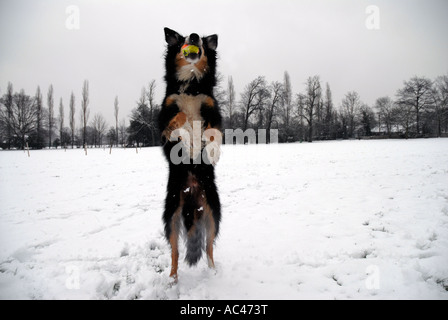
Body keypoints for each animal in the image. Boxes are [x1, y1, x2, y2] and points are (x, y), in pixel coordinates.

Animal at [158, 28, 223, 282]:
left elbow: (215, 131)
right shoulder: (165, 114)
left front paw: (212, 151)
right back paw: (173, 279)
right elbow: (181, 118)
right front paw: (185, 139)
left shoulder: (212, 108)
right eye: (183, 39)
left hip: (214, 212)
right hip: (171, 215)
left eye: (202, 42)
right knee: (175, 251)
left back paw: (214, 272)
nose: (194, 36)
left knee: (209, 246)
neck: (191, 83)